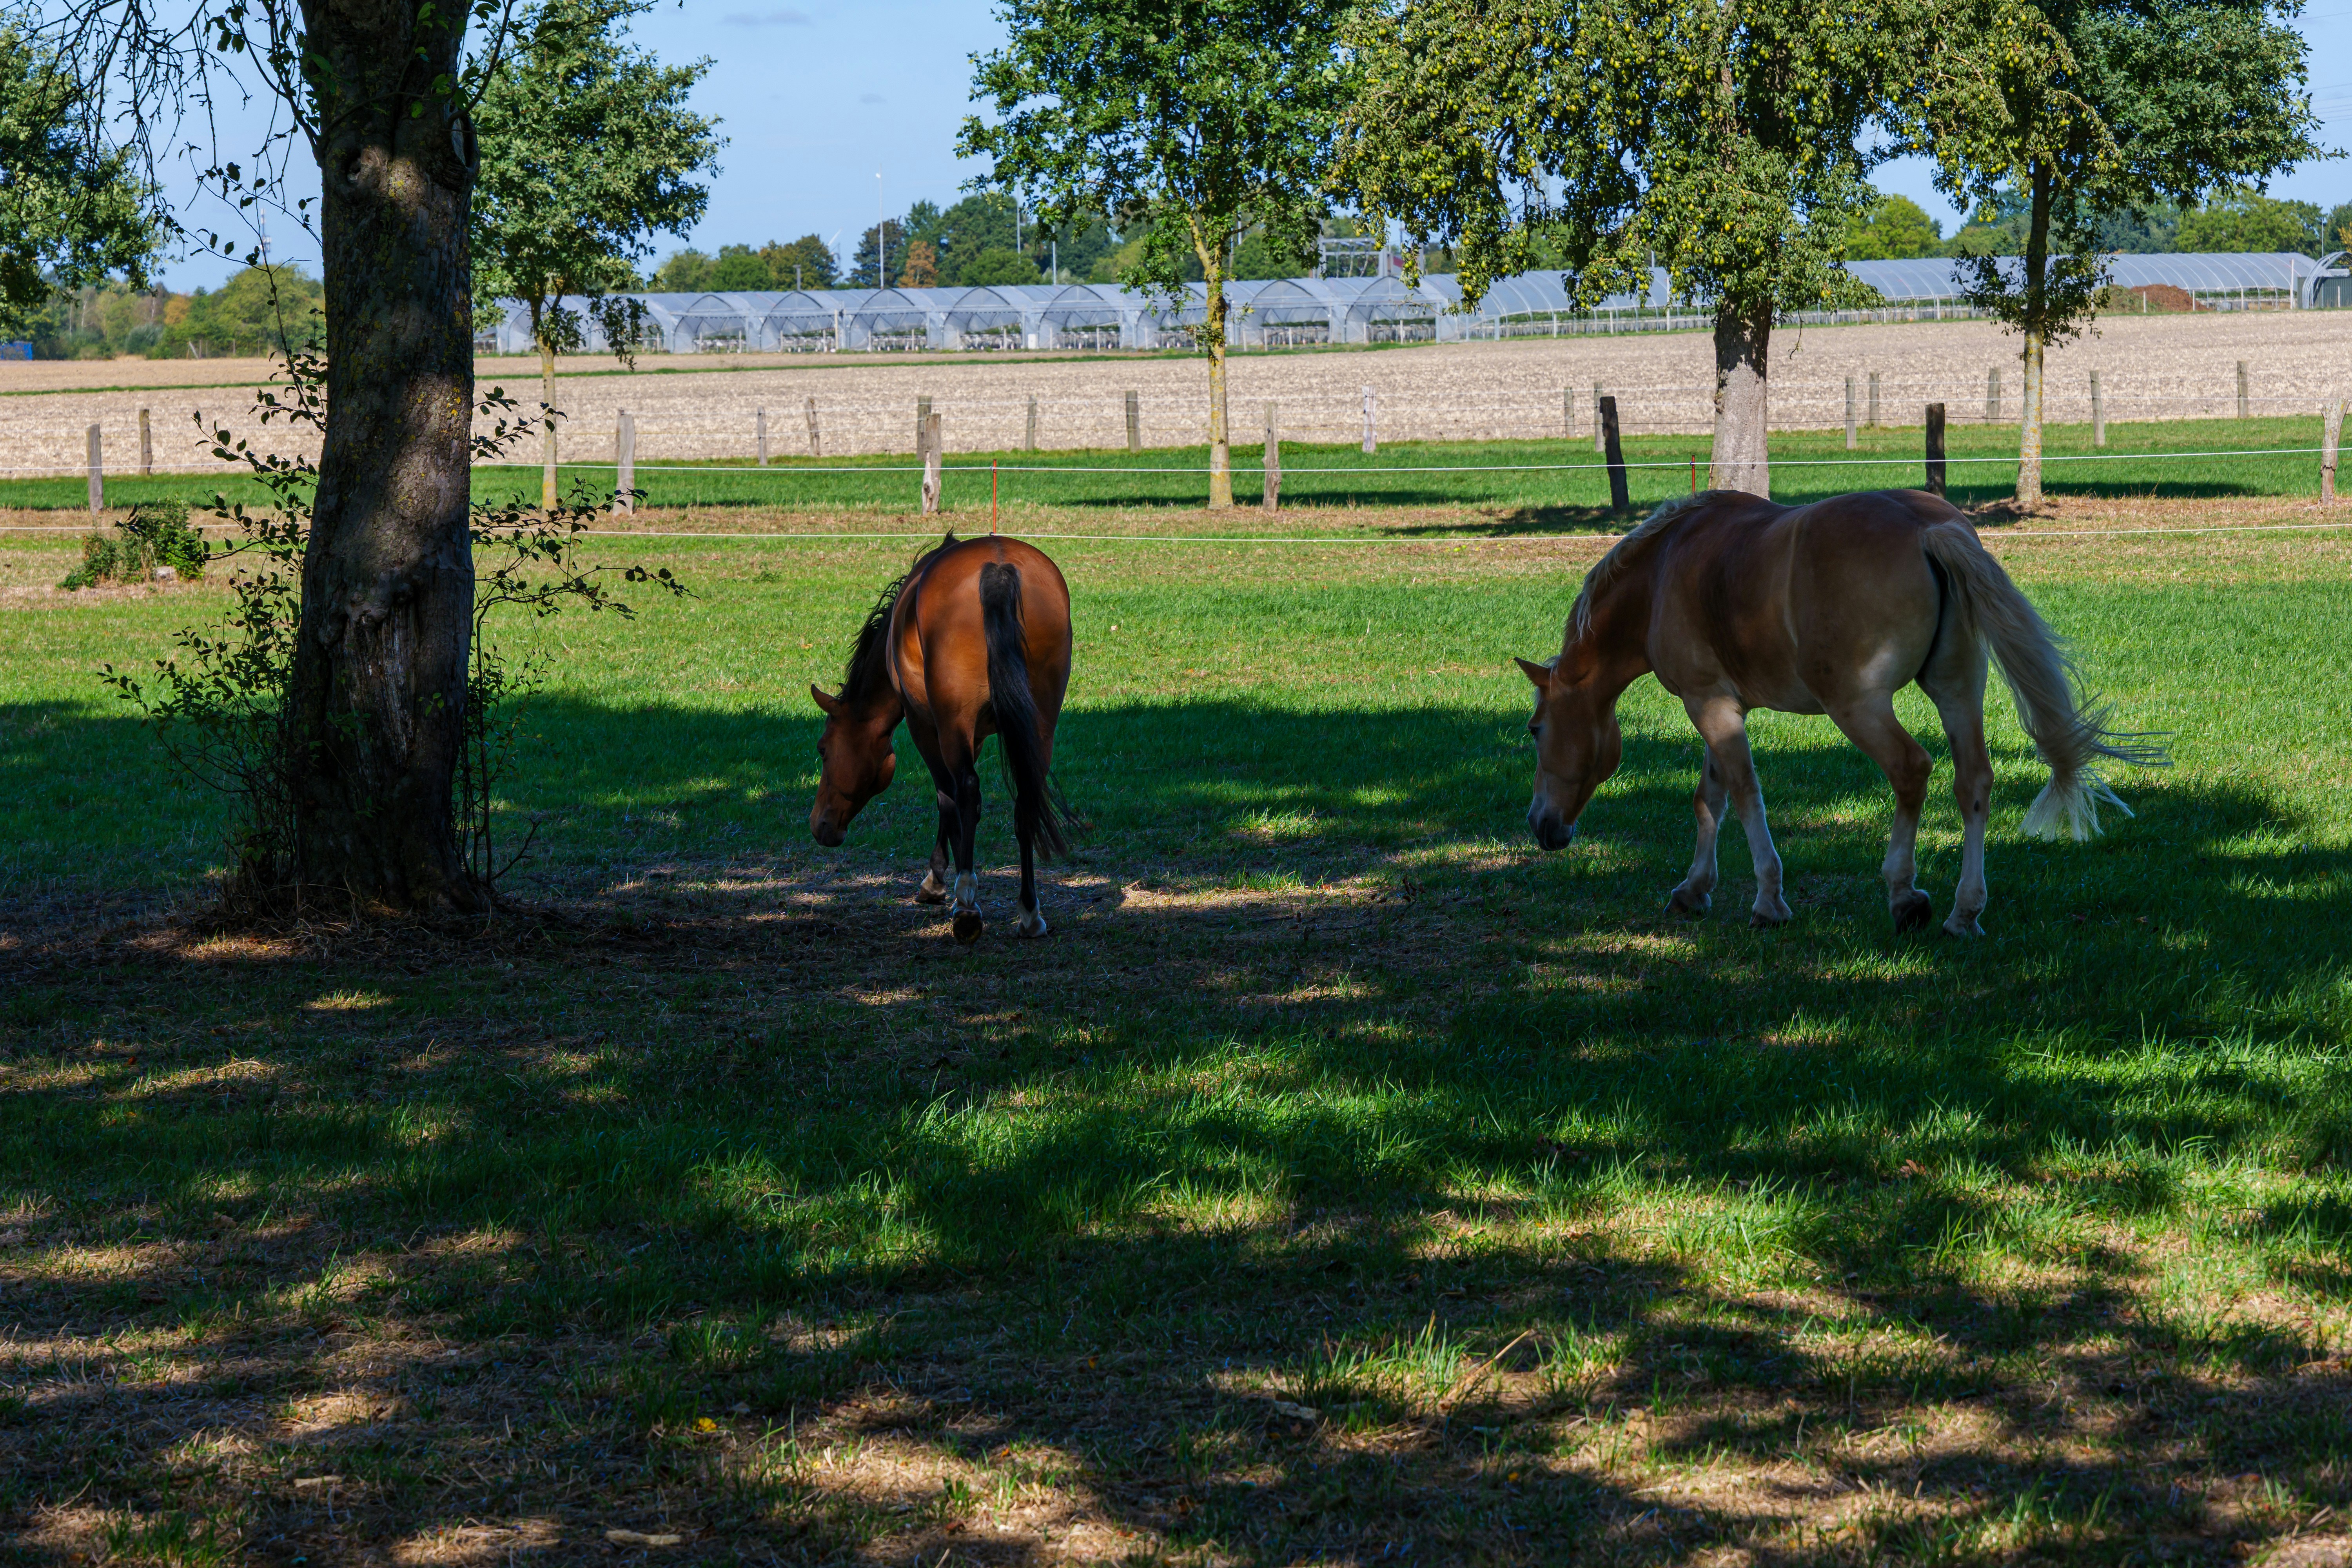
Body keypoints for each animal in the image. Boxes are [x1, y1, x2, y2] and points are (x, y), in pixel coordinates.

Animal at [810, 532, 1073, 944]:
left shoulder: (926, 726)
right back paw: (1030, 912)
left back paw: (966, 907)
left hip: (953, 723)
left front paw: (938, 881)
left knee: (966, 791)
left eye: (823, 750)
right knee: (1026, 800)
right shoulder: (974, 737)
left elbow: (947, 799)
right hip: (1040, 724)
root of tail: (998, 568)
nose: (819, 825)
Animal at [1517, 489, 2163, 936]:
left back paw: (1905, 897)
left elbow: (1744, 795)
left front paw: (1769, 900)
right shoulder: (1722, 706)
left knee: (1911, 770)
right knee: (1973, 781)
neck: (1665, 573)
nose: (1539, 825)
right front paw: (1694, 890)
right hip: (1956, 689)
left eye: (1535, 730)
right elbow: (1711, 798)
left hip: (1859, 706)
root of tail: (1929, 529)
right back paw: (1963, 912)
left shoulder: (1710, 704)